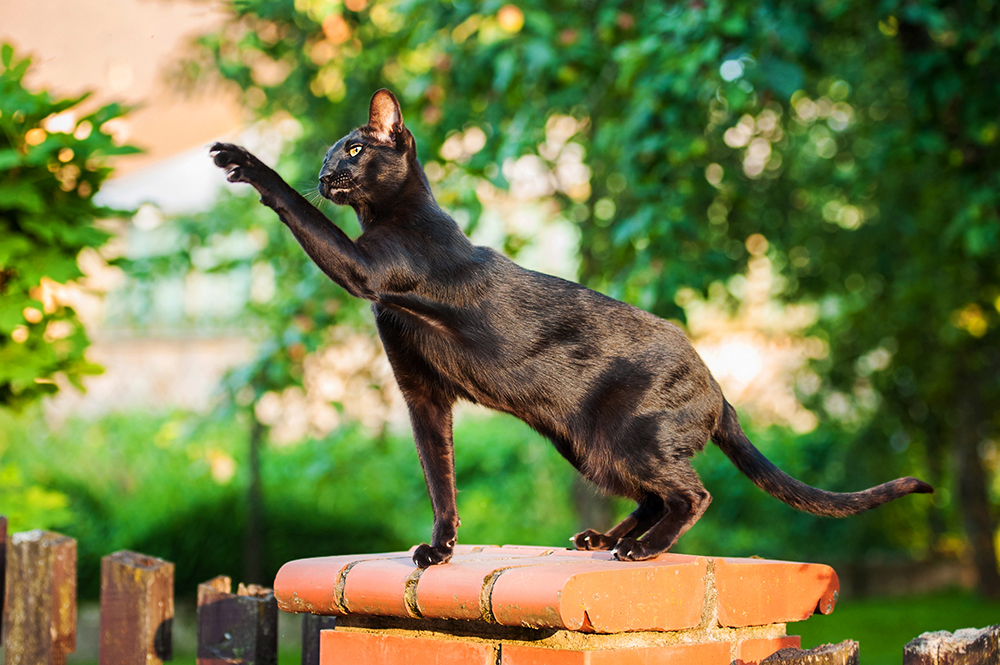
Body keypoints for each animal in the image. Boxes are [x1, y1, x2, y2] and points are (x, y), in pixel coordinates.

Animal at [209, 87, 928, 564]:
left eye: (354, 149)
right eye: (331, 154)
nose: (326, 173)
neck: (394, 216)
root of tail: (719, 392)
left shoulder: (365, 270)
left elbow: (300, 213)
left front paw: (242, 159)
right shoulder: (423, 395)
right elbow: (440, 478)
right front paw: (440, 549)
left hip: (626, 439)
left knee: (692, 495)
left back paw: (639, 551)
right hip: (589, 446)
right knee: (655, 496)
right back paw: (604, 538)